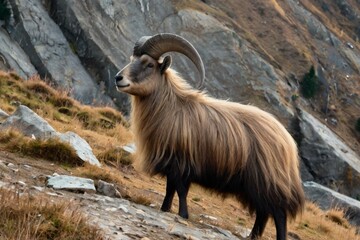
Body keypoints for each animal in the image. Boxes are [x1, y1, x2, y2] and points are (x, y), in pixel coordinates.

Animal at [114, 32, 304, 239]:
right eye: (132, 59)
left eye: (149, 64)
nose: (118, 78)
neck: (171, 107)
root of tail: (288, 142)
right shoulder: (173, 165)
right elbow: (170, 190)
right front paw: (165, 209)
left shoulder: (181, 164)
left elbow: (180, 191)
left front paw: (183, 214)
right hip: (258, 186)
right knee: (263, 213)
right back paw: (252, 236)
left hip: (267, 182)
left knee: (278, 214)